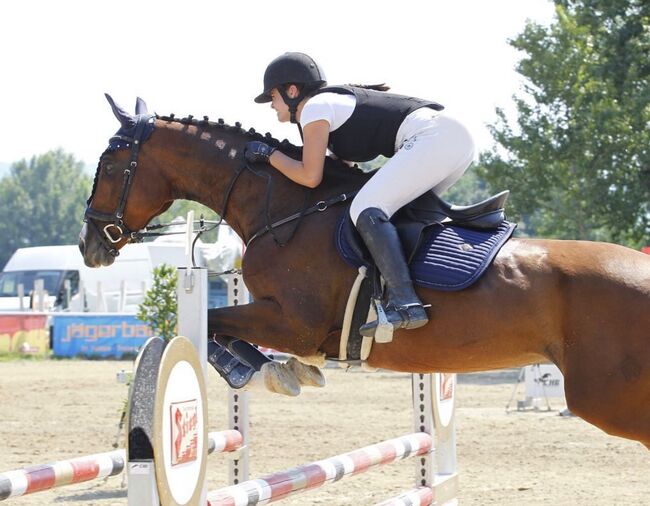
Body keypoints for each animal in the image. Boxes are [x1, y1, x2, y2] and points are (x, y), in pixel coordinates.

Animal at [79, 97, 648, 448]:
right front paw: (287, 371)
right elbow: (217, 328)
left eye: (109, 164)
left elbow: (212, 323)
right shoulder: (287, 323)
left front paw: (262, 371)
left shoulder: (293, 323)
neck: (285, 208)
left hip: (607, 399)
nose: (90, 246)